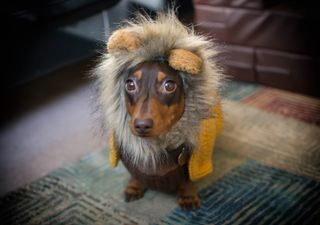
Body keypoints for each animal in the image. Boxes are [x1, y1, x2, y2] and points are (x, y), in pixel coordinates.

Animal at [95, 11, 224, 209]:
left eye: (169, 85)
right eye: (130, 84)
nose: (141, 125)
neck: (155, 148)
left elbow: (187, 179)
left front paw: (188, 196)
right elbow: (135, 175)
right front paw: (134, 187)